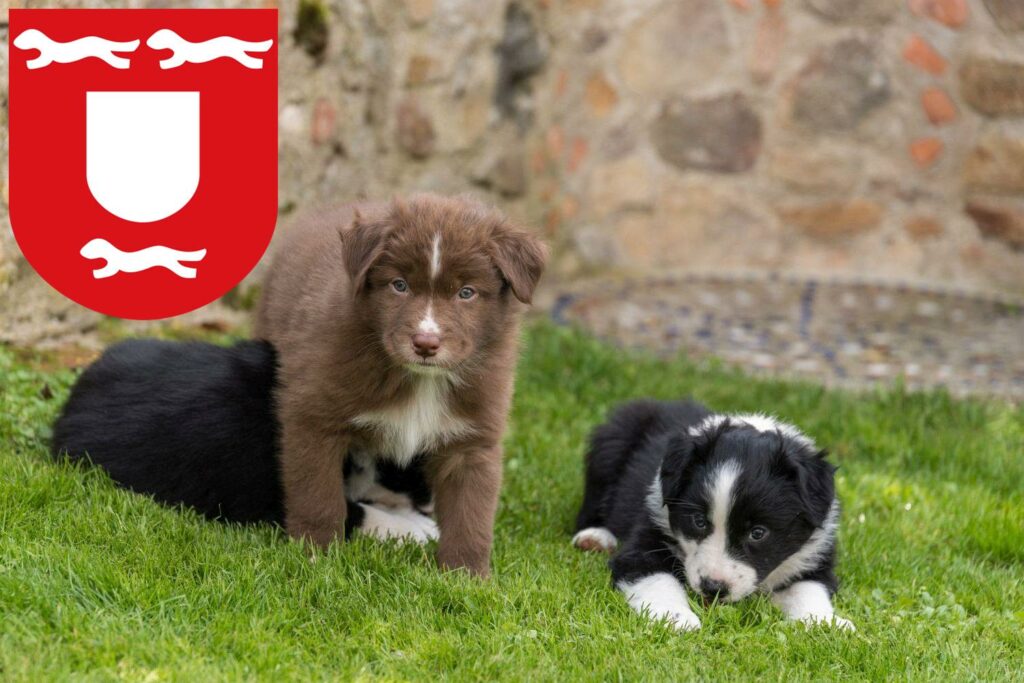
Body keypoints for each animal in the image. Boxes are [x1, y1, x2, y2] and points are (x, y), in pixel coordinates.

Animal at [254, 193, 544, 577]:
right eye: (400, 285)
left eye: (466, 292)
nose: (425, 343)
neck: (422, 380)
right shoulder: (314, 415)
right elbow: (318, 494)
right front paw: (316, 554)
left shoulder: (472, 436)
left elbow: (470, 511)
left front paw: (465, 575)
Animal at [573, 401, 851, 630]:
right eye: (698, 521)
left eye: (758, 533)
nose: (713, 588)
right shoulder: (646, 539)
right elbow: (657, 579)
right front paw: (676, 618)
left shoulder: (814, 556)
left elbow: (808, 589)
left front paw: (825, 623)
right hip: (611, 444)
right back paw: (594, 537)